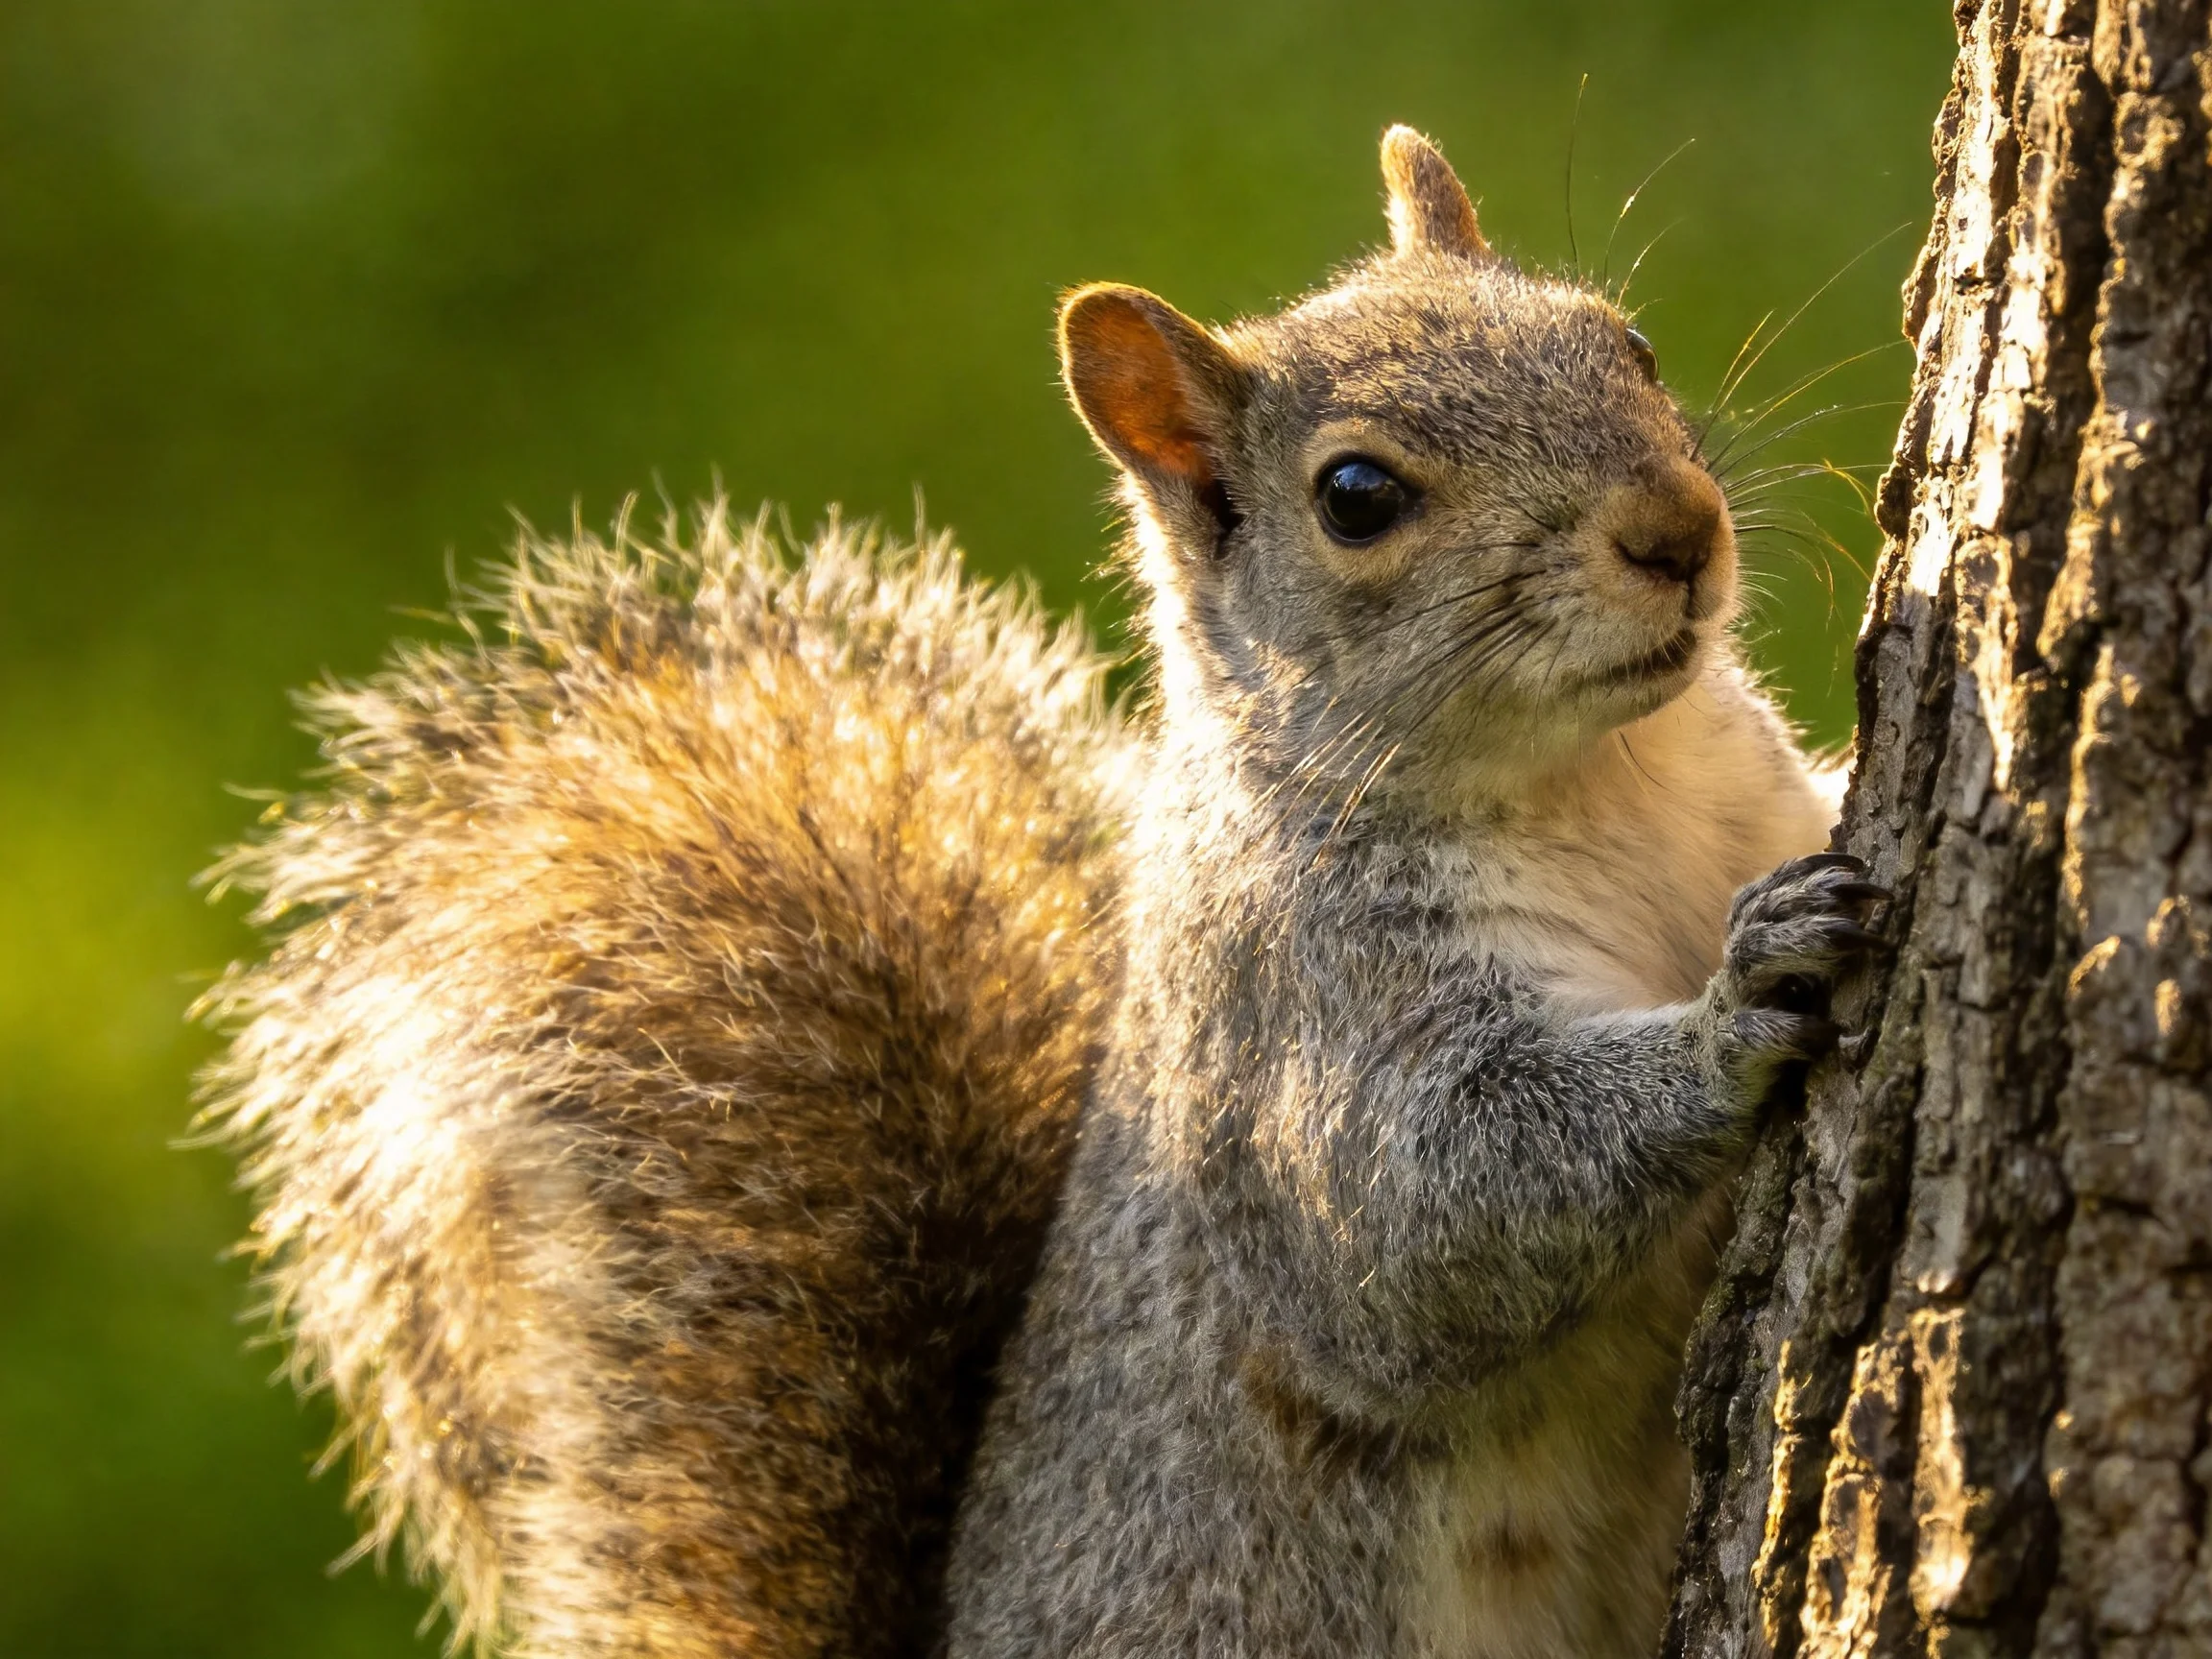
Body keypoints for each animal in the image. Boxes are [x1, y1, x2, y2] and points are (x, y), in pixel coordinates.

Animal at [200, 127, 1882, 1659]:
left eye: (1625, 342)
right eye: (1356, 494)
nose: (1676, 532)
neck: (1610, 778)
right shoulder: (1300, 1027)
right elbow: (1430, 1214)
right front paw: (1742, 1003)